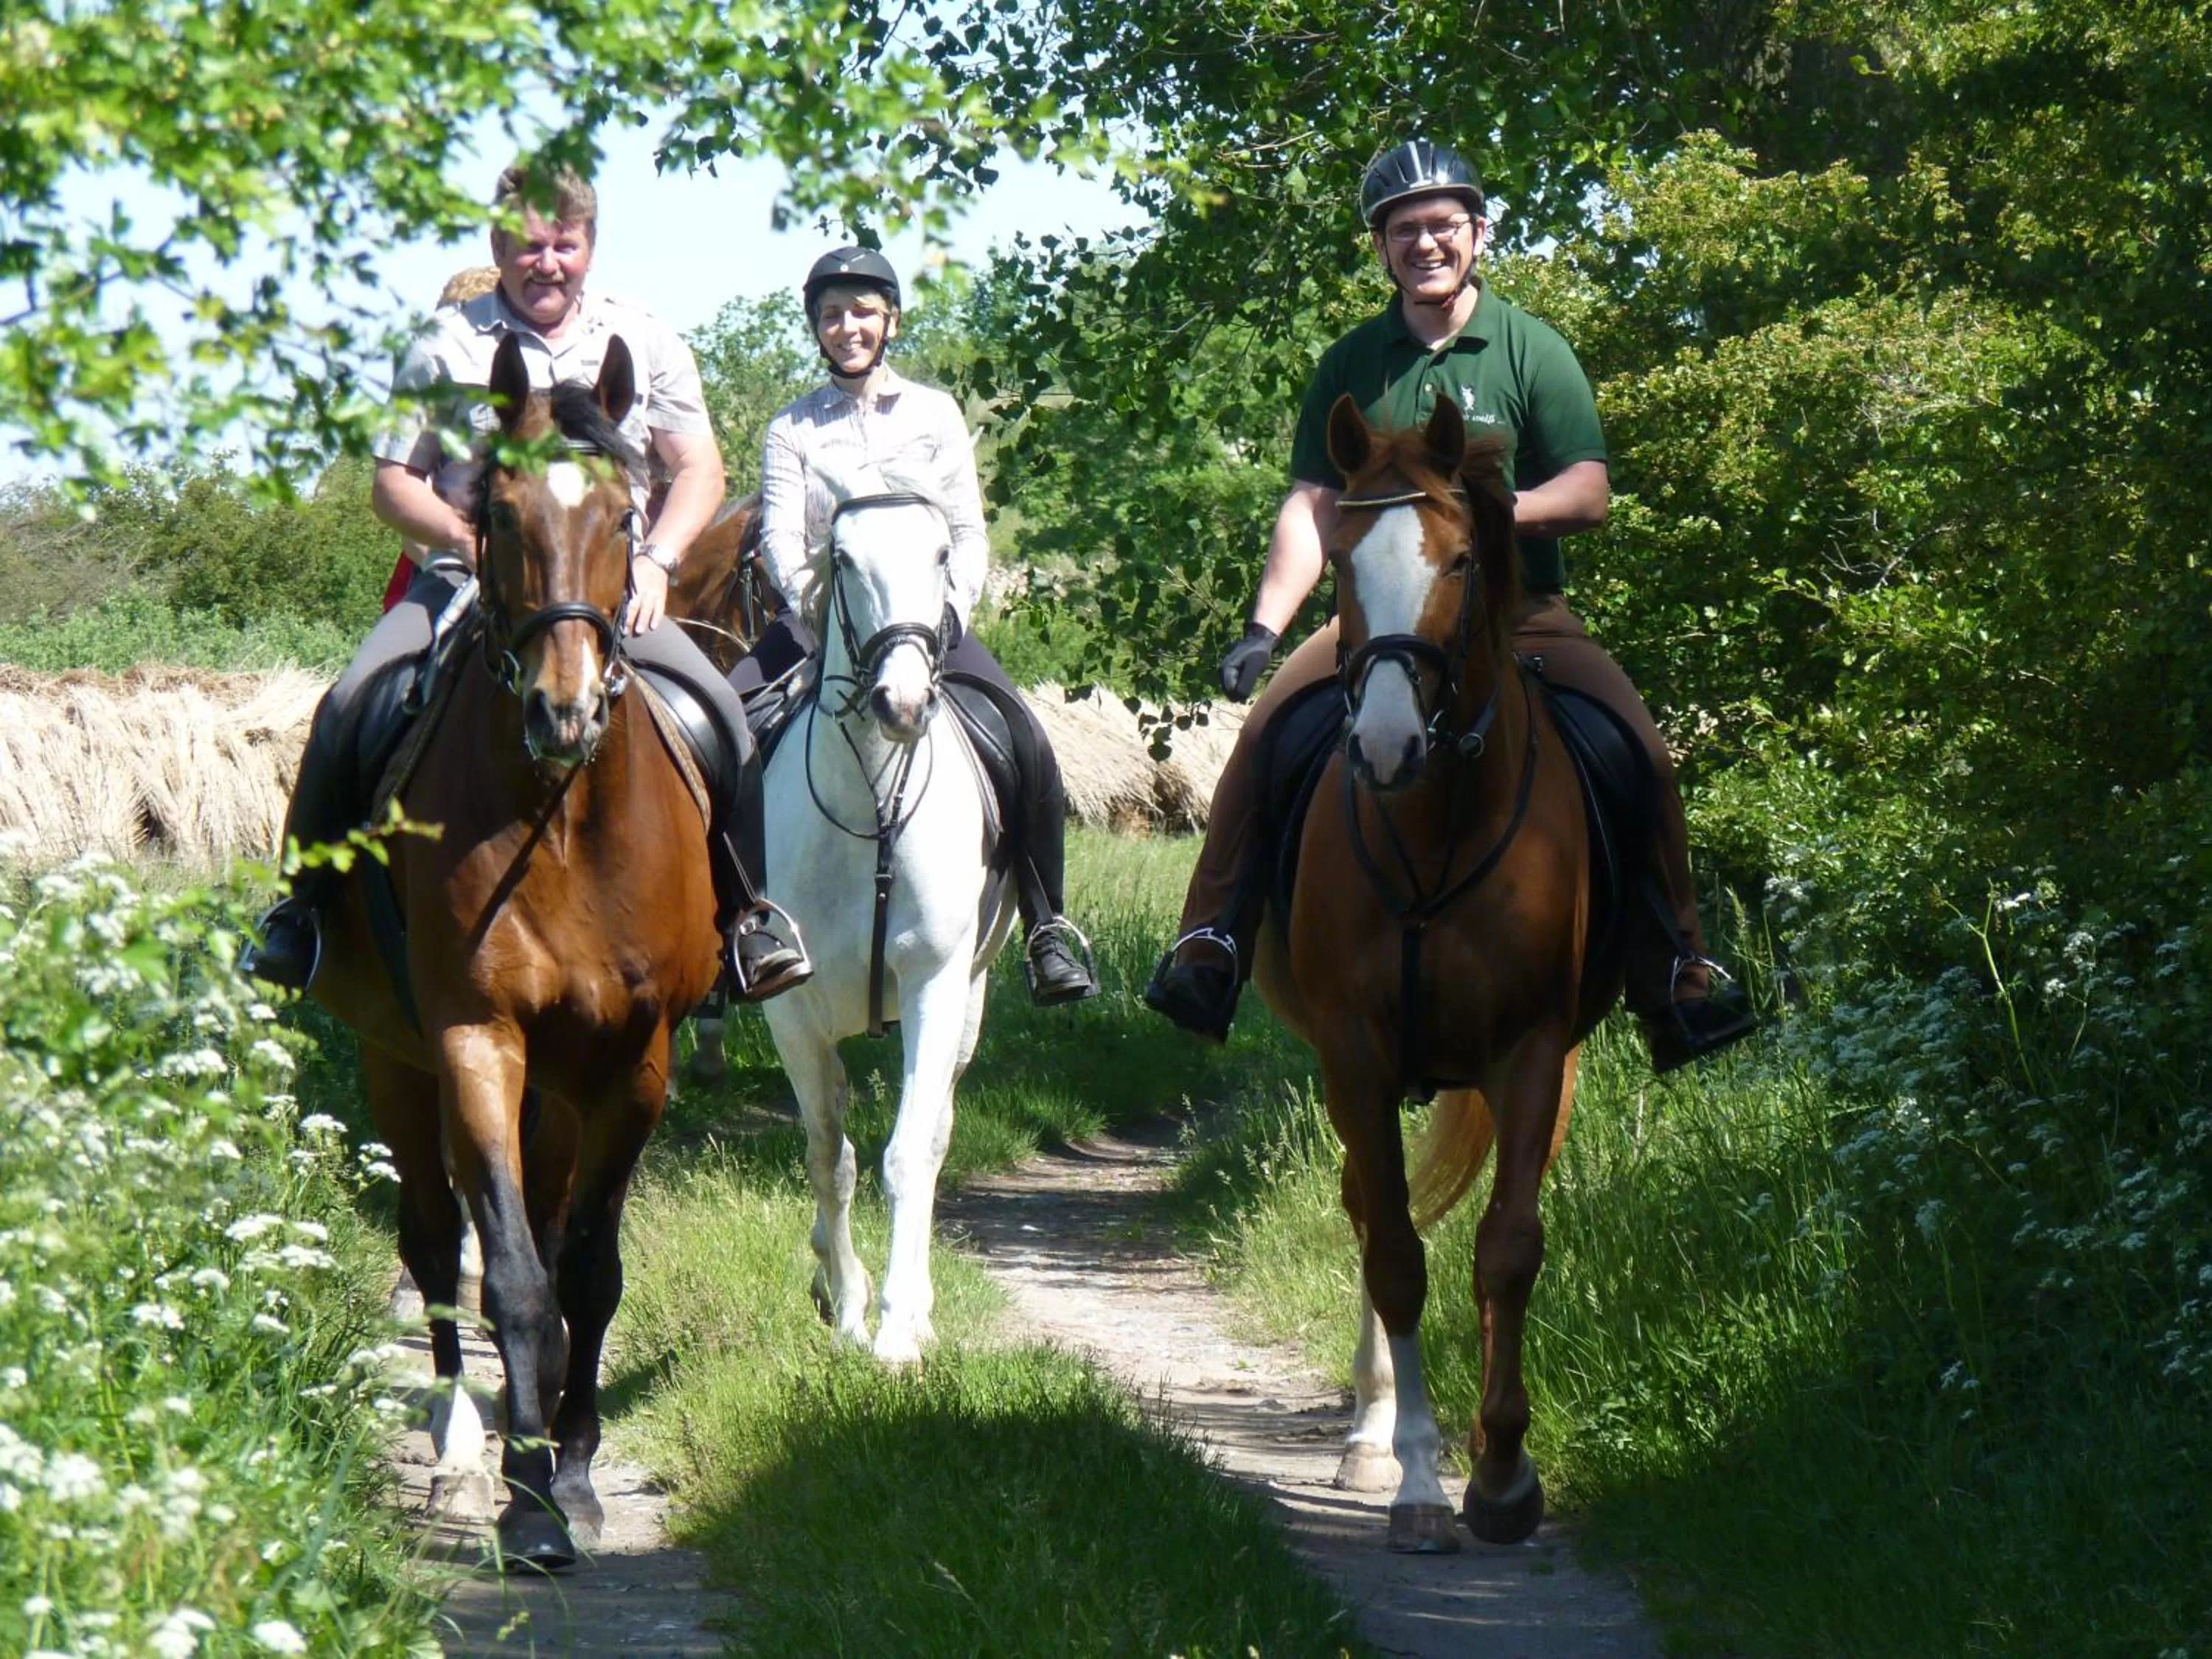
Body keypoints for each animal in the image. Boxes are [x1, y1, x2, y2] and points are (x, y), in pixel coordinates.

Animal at [308, 333, 721, 1570]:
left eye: (627, 514)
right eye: (495, 513)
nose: (562, 713)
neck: (567, 821)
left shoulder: (636, 1058)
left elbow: (586, 1269)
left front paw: (573, 1476)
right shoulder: (476, 1040)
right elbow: (519, 1279)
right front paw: (526, 1498)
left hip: (563, 1083)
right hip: (401, 1060)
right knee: (437, 1235)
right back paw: (455, 1435)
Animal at [755, 459, 1016, 1364]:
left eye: (940, 552)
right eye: (841, 558)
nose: (901, 703)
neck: (869, 800)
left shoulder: (934, 983)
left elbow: (908, 1154)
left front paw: (899, 1331)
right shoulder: (790, 1008)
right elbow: (826, 1158)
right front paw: (847, 1309)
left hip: (971, 998)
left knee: (933, 1136)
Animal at [1250, 393, 1619, 1553]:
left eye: (1461, 560)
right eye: (1339, 560)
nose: (1385, 744)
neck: (1432, 825)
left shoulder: (1535, 1054)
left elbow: (1508, 1248)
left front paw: (1503, 1474)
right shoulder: (1356, 1059)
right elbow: (1399, 1258)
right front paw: (1416, 1479)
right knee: (1372, 1212)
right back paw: (1370, 1436)